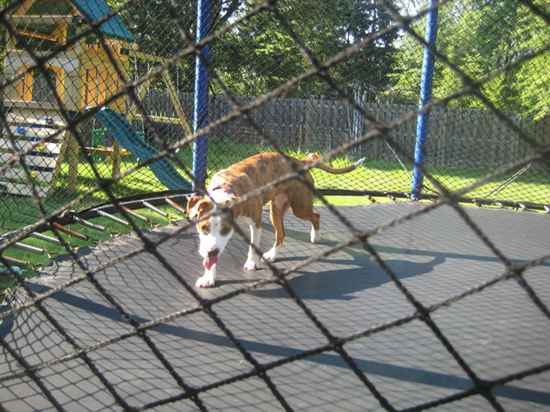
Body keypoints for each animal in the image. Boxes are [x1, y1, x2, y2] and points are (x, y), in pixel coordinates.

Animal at [188, 150, 364, 286]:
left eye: (226, 230)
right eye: (203, 228)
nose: (211, 252)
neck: (225, 189)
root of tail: (301, 162)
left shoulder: (256, 222)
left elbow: (252, 246)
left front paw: (251, 263)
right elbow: (212, 258)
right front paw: (209, 278)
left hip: (300, 207)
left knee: (315, 216)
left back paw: (316, 235)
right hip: (276, 209)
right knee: (281, 234)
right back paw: (273, 254)